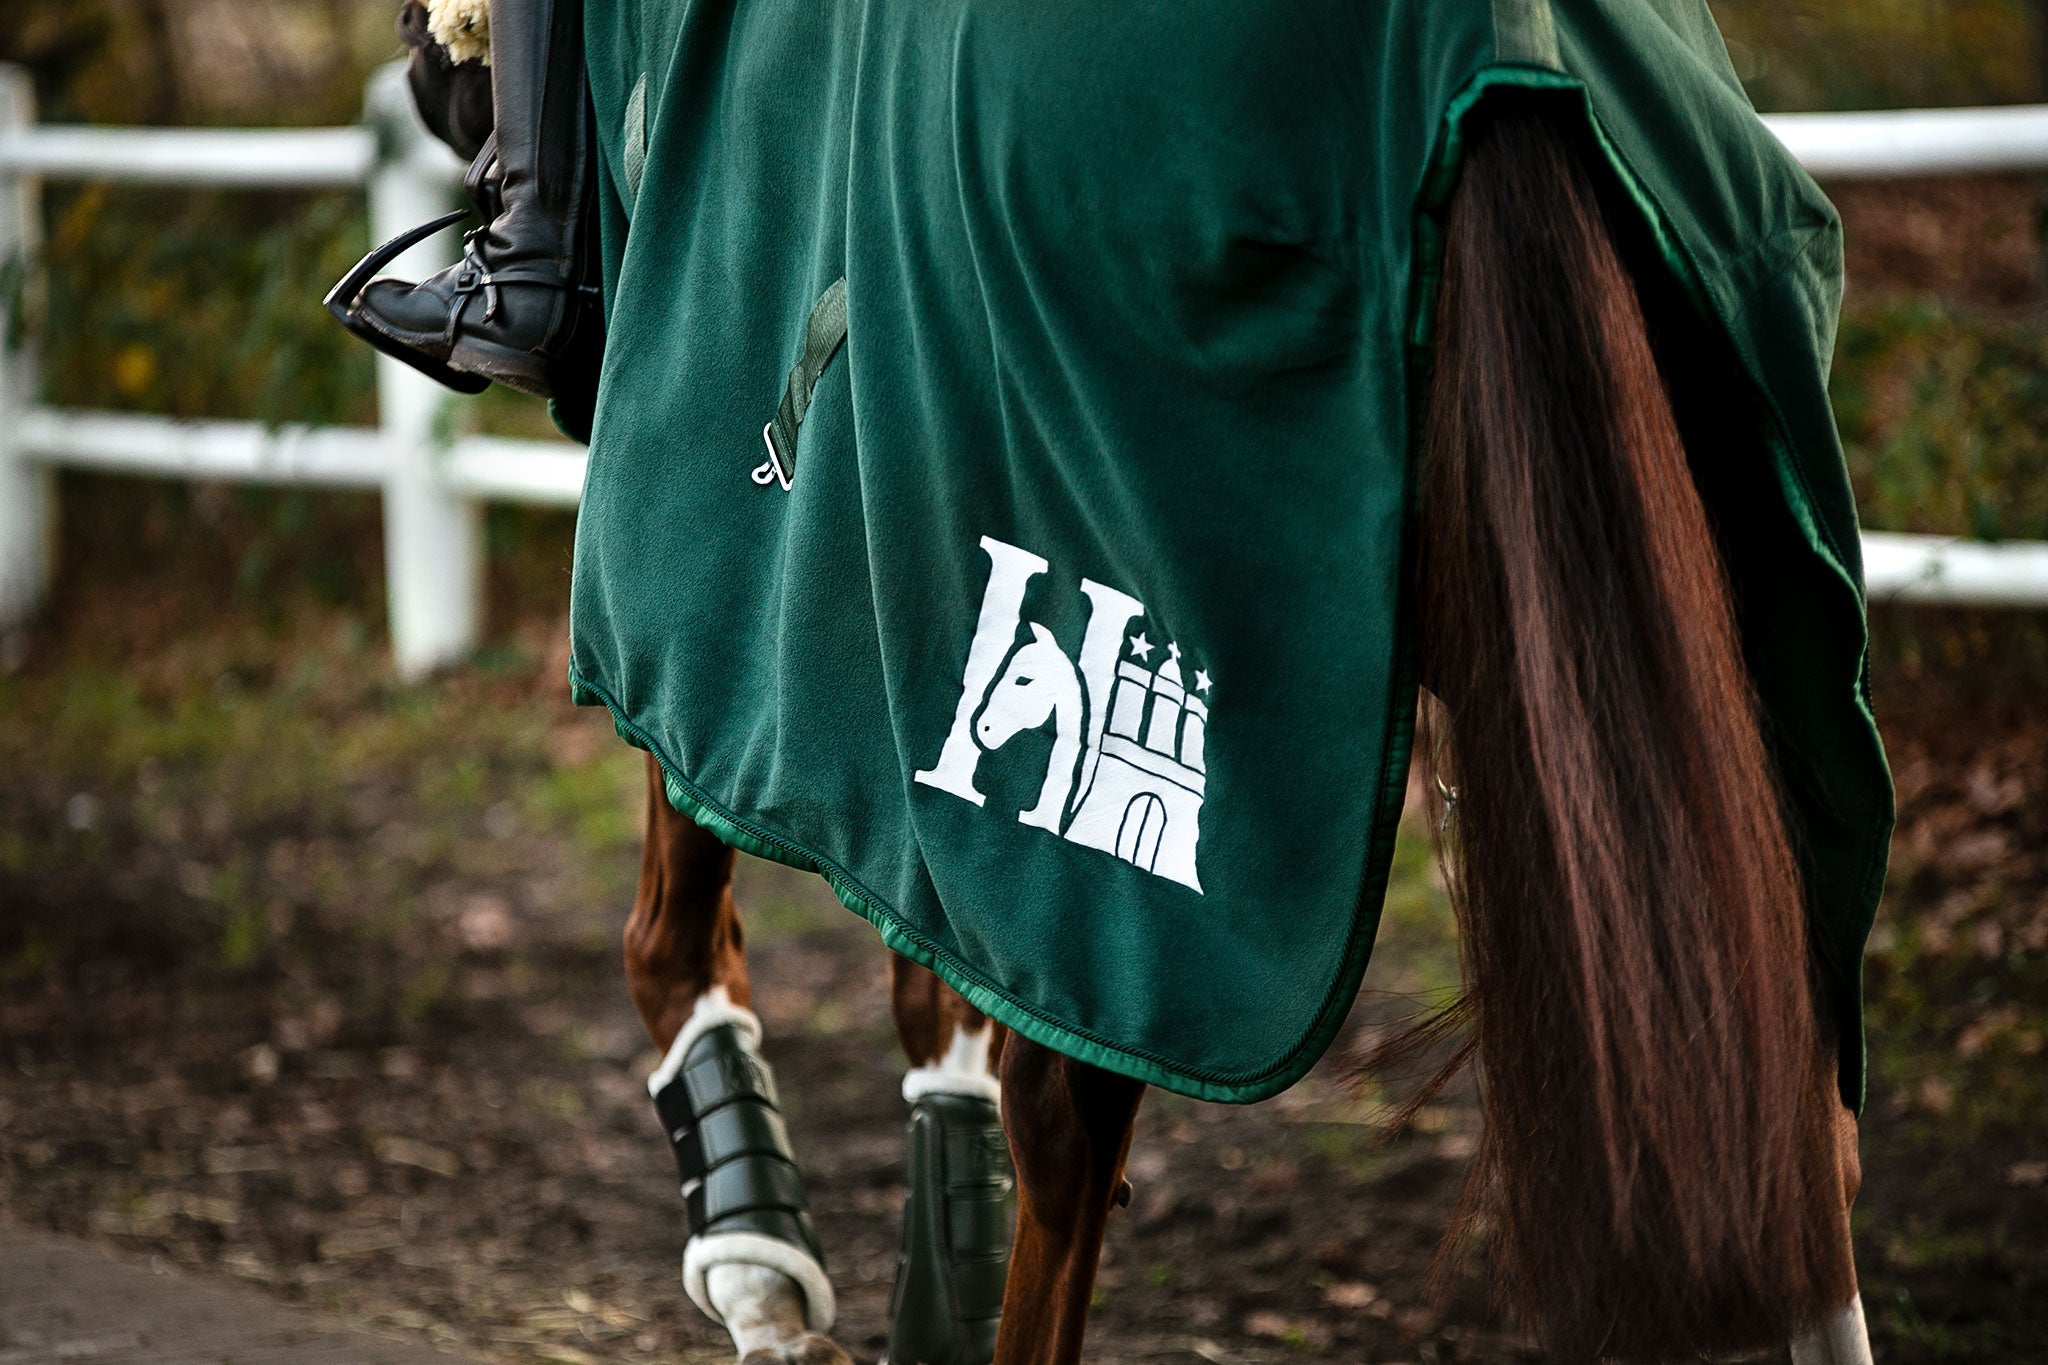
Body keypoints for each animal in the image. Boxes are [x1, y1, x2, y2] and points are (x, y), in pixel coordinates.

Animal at [334, 5, 1890, 1362]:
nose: (426, 82)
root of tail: (1501, 60)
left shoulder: (733, 605)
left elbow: (677, 940)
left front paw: (763, 1270)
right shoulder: (909, 636)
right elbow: (945, 968)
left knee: (1068, 1111)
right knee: (1788, 1109)